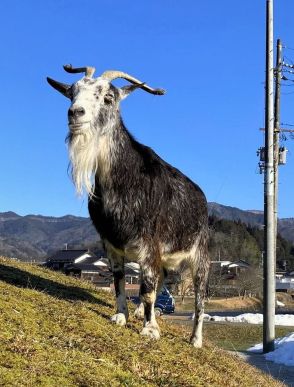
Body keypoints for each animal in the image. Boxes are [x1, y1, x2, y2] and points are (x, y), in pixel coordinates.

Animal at [47, 64, 210, 348]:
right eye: (72, 93)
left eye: (108, 97)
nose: (75, 113)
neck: (125, 180)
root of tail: (201, 199)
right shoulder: (111, 244)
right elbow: (120, 282)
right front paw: (121, 316)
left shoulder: (149, 243)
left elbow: (147, 289)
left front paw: (150, 330)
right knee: (161, 278)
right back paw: (138, 313)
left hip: (200, 254)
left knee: (199, 296)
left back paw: (195, 339)